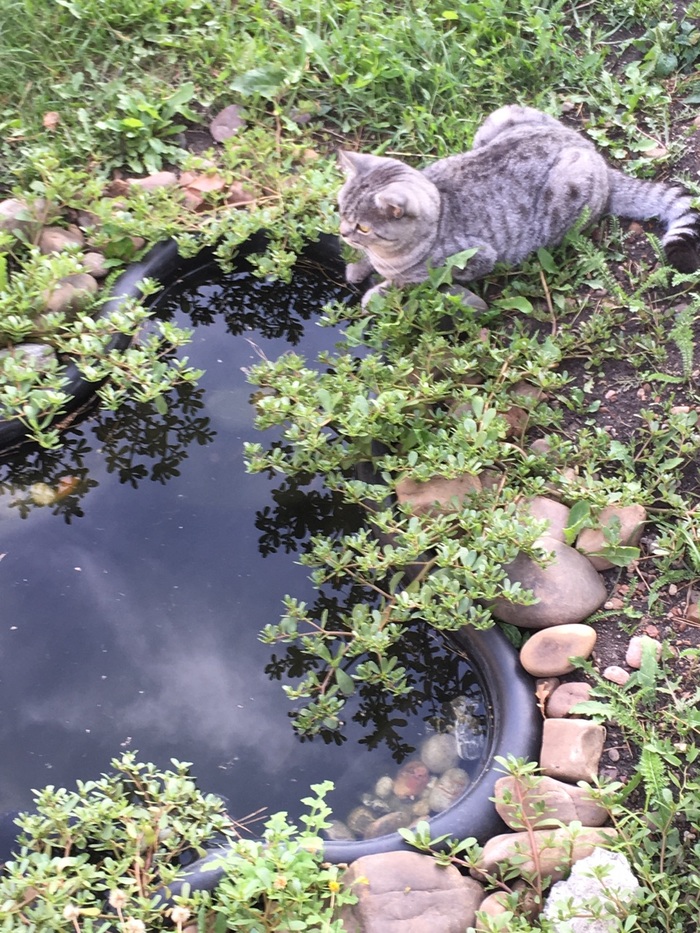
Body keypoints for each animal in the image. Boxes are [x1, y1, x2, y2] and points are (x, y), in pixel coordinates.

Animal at [336, 104, 696, 304]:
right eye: (340, 211)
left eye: (363, 226)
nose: (342, 233)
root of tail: (598, 157)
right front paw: (359, 267)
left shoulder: (475, 259)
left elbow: (414, 283)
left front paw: (377, 291)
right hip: (505, 114)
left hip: (567, 190)